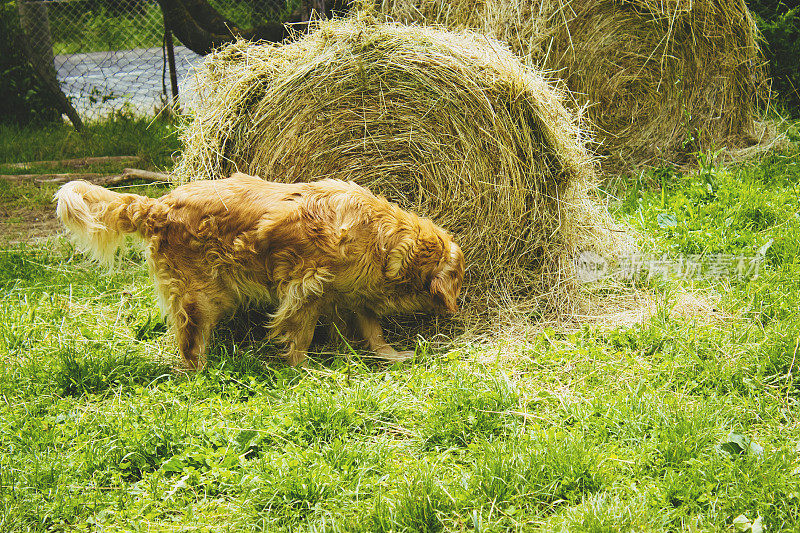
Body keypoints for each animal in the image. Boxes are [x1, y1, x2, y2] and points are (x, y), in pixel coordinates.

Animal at [56, 175, 466, 370]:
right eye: (460, 278)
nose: (457, 309)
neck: (382, 237)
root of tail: (156, 204)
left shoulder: (350, 293)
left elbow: (373, 330)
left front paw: (392, 355)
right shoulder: (305, 288)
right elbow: (299, 334)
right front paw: (304, 368)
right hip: (197, 296)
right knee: (189, 345)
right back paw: (200, 373)